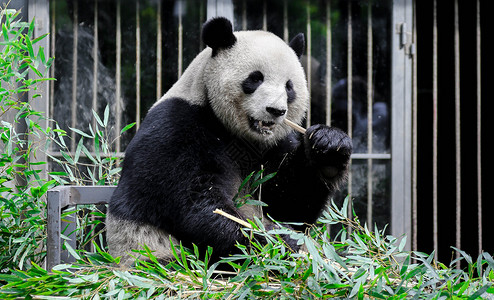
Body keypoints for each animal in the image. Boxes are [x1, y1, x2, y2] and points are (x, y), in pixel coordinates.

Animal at [106, 17, 354, 264]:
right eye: (255, 78)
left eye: (289, 87)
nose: (275, 111)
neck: (237, 133)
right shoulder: (177, 128)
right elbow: (196, 202)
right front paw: (273, 241)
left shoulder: (274, 147)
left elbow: (290, 204)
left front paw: (329, 146)